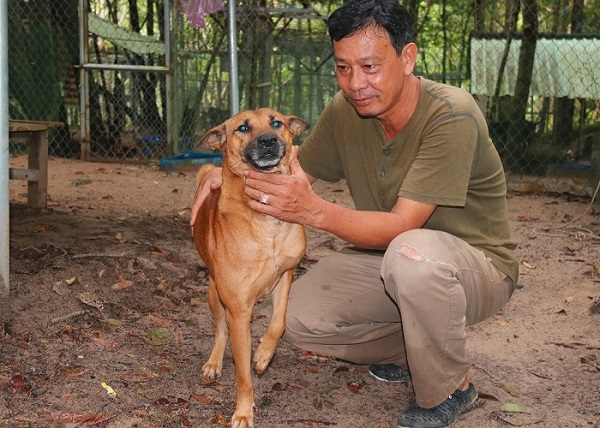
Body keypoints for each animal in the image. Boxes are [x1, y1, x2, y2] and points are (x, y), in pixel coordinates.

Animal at [192, 108, 310, 428]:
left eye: (276, 123)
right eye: (243, 128)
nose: (268, 140)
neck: (267, 222)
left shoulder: (285, 277)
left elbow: (279, 323)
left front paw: (263, 355)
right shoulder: (238, 311)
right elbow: (242, 374)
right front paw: (244, 412)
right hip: (214, 295)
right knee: (220, 330)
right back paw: (213, 363)